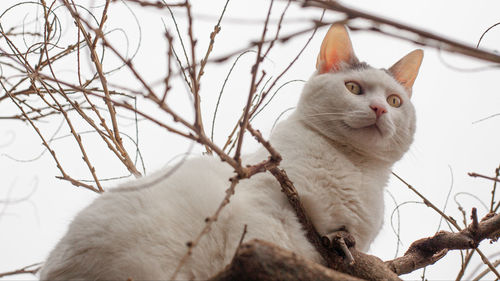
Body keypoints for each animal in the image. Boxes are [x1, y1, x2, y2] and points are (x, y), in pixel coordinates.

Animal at [40, 24, 422, 278]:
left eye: (394, 101)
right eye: (353, 88)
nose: (379, 109)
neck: (355, 167)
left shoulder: (346, 246)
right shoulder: (266, 207)